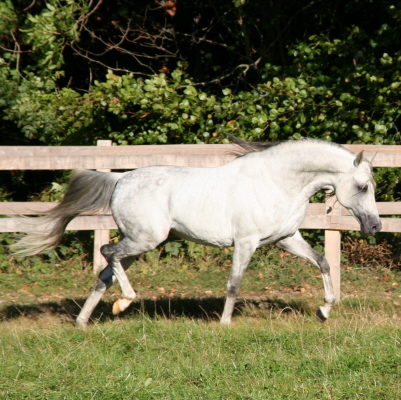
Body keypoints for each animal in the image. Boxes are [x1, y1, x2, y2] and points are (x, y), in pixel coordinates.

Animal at [13, 138, 382, 328]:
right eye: (362, 187)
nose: (375, 226)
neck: (277, 182)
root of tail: (120, 179)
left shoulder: (286, 239)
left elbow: (323, 262)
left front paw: (324, 310)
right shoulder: (245, 242)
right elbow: (234, 284)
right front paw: (225, 324)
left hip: (139, 243)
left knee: (105, 275)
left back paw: (85, 320)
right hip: (146, 240)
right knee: (107, 254)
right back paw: (125, 302)